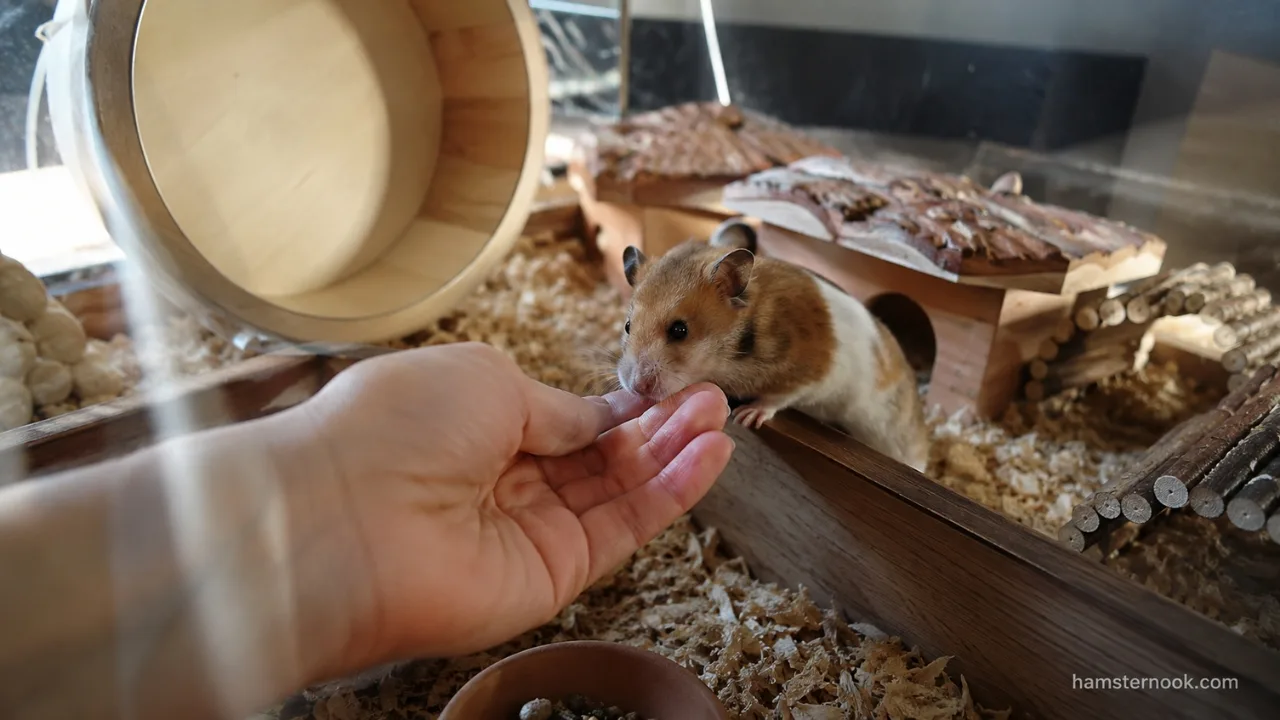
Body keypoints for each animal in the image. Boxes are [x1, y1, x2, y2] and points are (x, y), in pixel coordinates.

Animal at [616, 218, 930, 472]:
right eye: (628, 326)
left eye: (680, 330)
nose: (637, 388)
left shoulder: (810, 377)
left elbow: (778, 398)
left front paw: (746, 416)